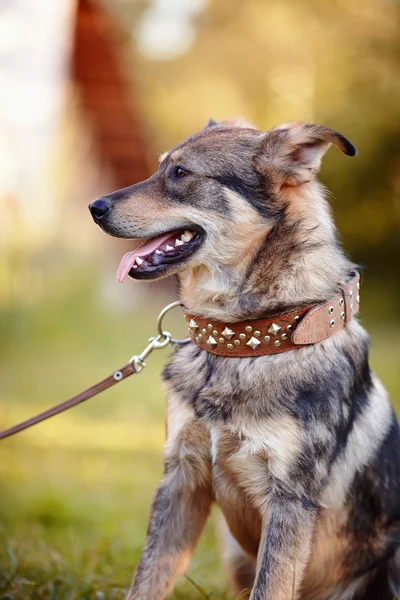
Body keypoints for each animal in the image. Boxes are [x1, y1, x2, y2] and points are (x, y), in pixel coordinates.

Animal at [90, 119, 400, 596]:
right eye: (161, 167)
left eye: (180, 172)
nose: (94, 207)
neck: (245, 342)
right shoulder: (181, 478)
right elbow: (146, 580)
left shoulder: (289, 500)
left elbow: (270, 587)